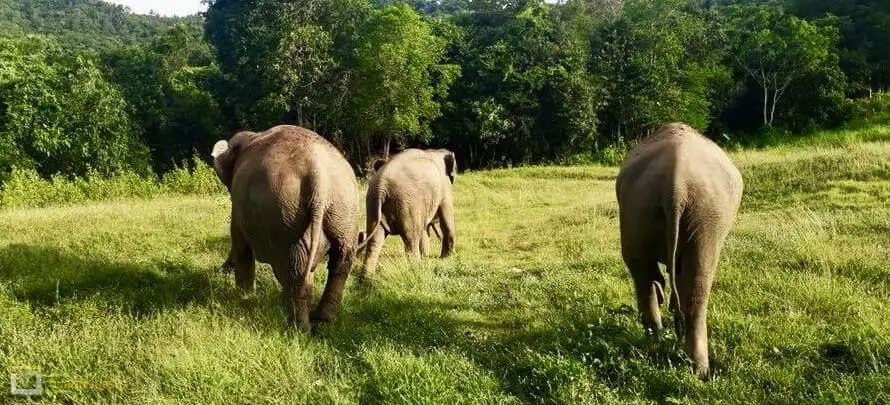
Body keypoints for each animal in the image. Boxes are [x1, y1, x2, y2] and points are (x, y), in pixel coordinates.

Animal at [211, 125, 360, 332]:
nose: (219, 270)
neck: (251, 135)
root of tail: (319, 175)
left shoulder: (238, 208)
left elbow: (241, 246)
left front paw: (244, 299)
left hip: (287, 218)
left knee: (295, 271)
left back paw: (298, 329)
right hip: (343, 210)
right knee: (340, 261)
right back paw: (322, 320)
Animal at [359, 148, 457, 277]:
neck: (435, 151)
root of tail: (381, 184)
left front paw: (428, 258)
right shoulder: (444, 186)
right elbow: (446, 217)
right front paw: (446, 259)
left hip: (373, 203)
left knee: (375, 239)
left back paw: (367, 277)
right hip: (407, 203)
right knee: (411, 238)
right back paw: (417, 270)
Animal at [615, 122, 743, 379]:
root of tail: (676, 186)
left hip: (653, 210)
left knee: (645, 272)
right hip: (702, 216)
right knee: (692, 282)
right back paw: (695, 367)